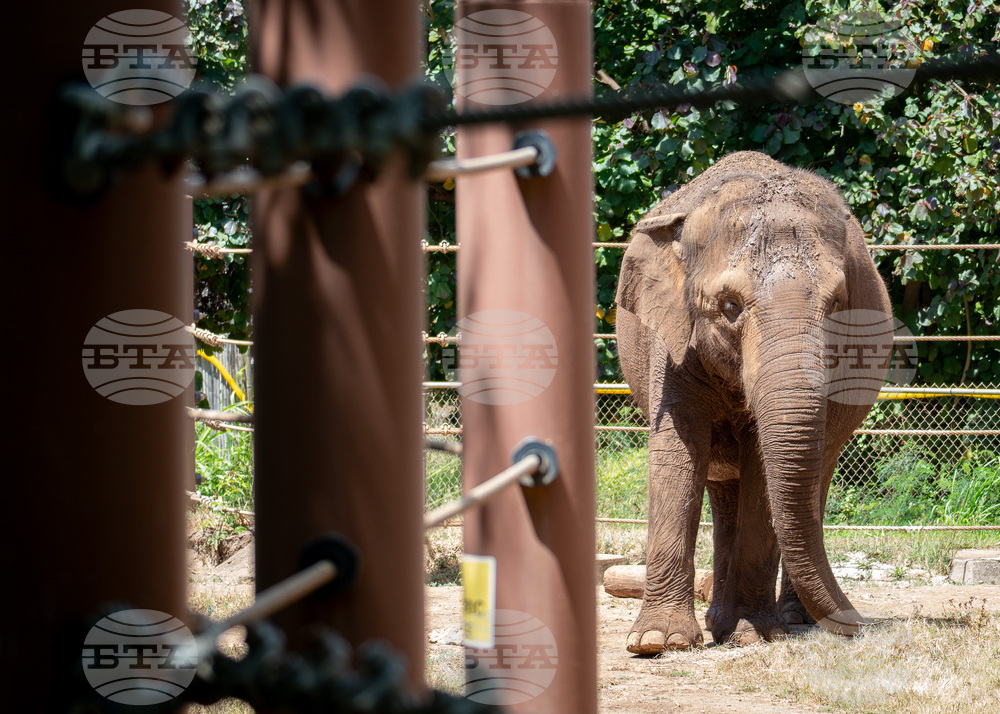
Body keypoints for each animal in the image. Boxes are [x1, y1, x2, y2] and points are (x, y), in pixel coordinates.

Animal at [614, 150, 894, 653]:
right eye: (729, 306)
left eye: (838, 305)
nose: (859, 624)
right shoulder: (672, 341)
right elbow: (679, 451)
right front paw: (657, 642)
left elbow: (761, 465)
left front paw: (752, 635)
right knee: (723, 488)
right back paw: (719, 622)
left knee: (813, 479)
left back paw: (790, 621)